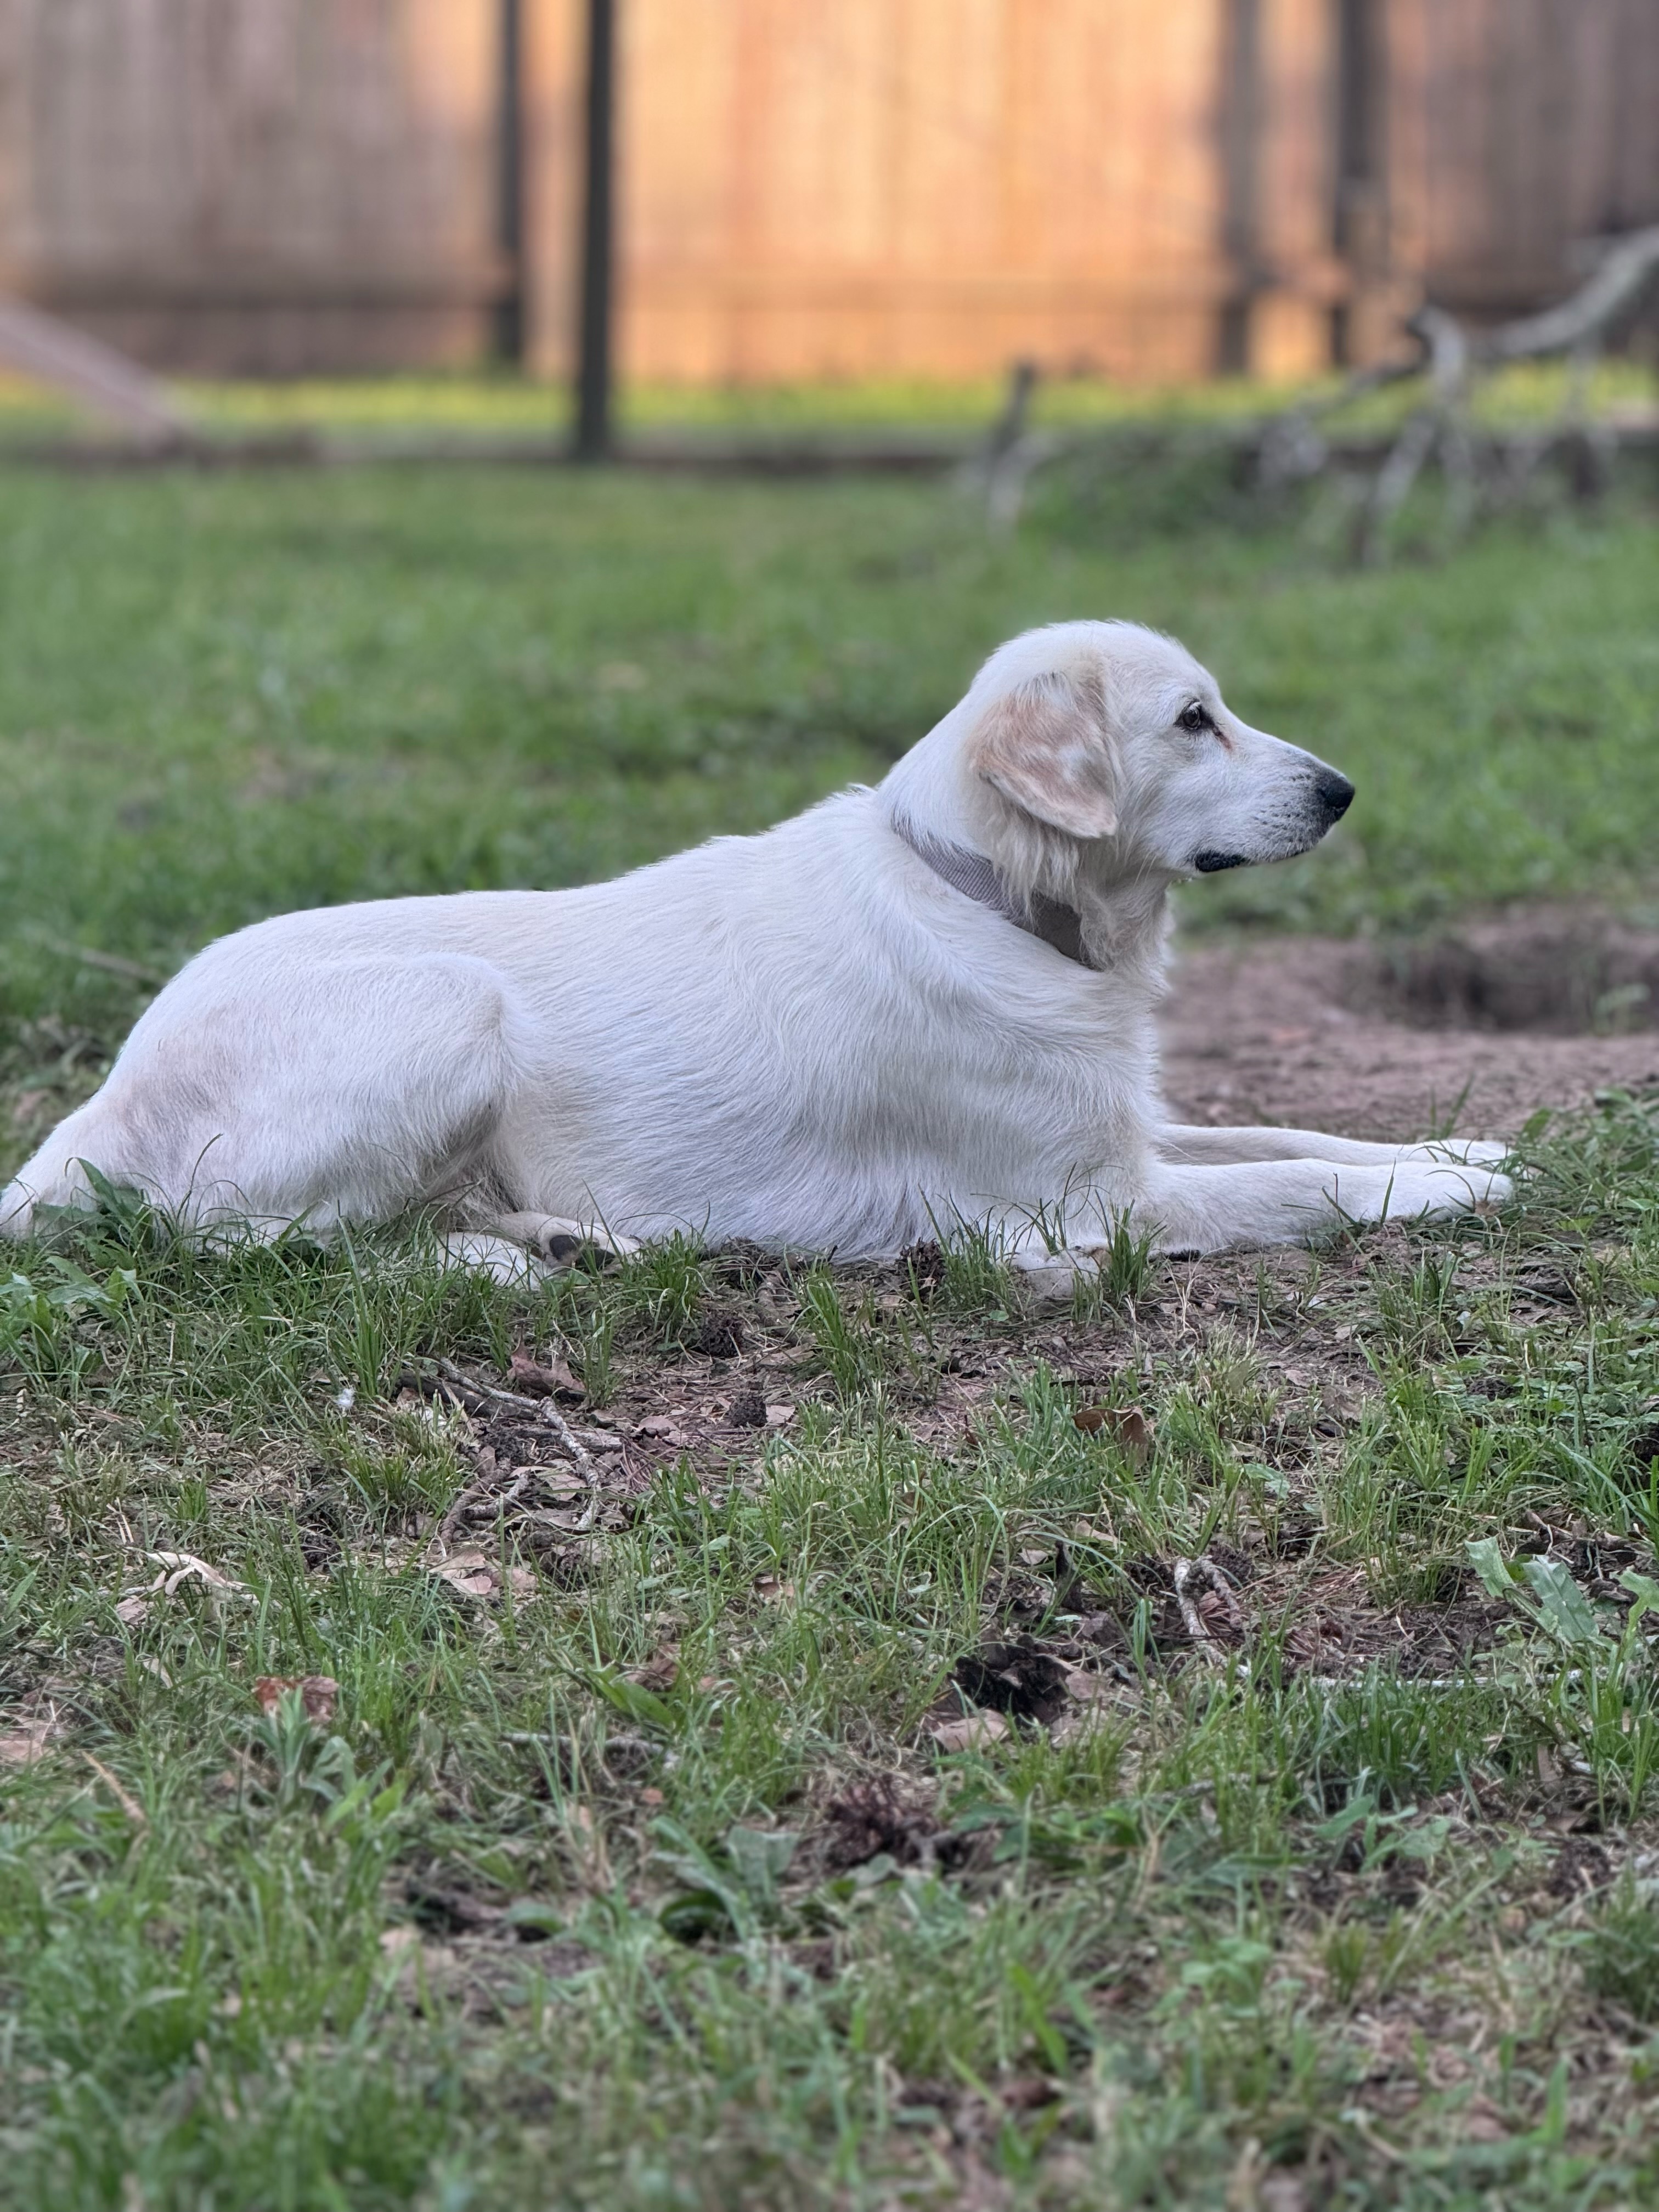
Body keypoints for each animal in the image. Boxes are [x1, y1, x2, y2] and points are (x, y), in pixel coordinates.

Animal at [0, 614, 1513, 1291]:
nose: (1343, 793)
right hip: (450, 1006)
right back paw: (501, 1265)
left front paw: (1458, 1147)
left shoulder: (1125, 1134)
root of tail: (98, 1103)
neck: (987, 896)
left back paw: (559, 1234)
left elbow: (1291, 1133)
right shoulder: (1084, 1207)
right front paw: (1449, 1192)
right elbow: (1292, 1187)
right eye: (1195, 720)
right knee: (253, 1245)